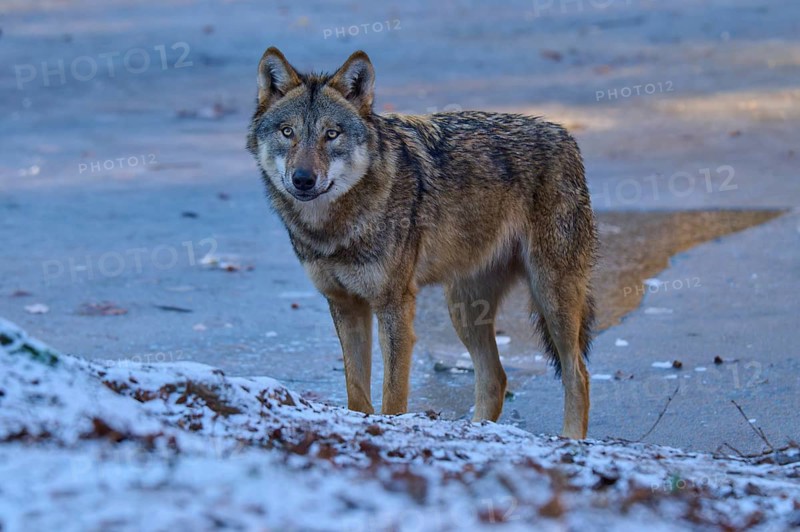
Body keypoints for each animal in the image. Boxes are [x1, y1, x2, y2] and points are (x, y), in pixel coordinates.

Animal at [247, 47, 596, 439]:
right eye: (287, 132)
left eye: (331, 134)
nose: (303, 179)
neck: (335, 229)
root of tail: (563, 133)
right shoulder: (345, 305)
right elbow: (356, 392)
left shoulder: (394, 305)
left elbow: (393, 396)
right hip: (465, 309)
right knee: (496, 378)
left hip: (552, 298)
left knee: (578, 374)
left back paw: (570, 439)